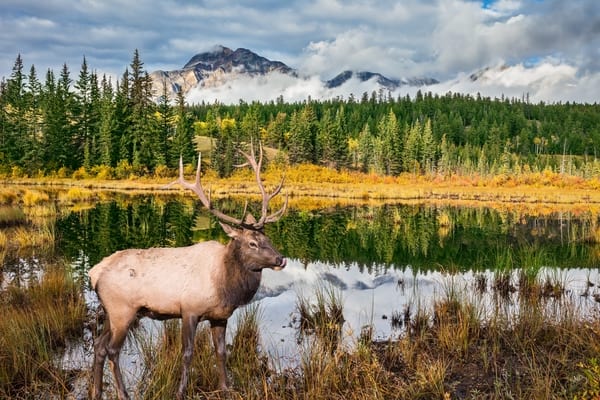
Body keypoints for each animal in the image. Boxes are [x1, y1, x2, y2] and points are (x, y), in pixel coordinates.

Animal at [88, 145, 288, 400]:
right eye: (252, 243)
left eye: (267, 239)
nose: (280, 259)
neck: (225, 285)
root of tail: (94, 273)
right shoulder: (189, 309)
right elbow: (187, 353)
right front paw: (180, 391)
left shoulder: (220, 316)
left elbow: (221, 352)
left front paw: (226, 387)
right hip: (123, 309)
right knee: (112, 350)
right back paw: (123, 394)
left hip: (110, 312)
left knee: (99, 345)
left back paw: (96, 391)